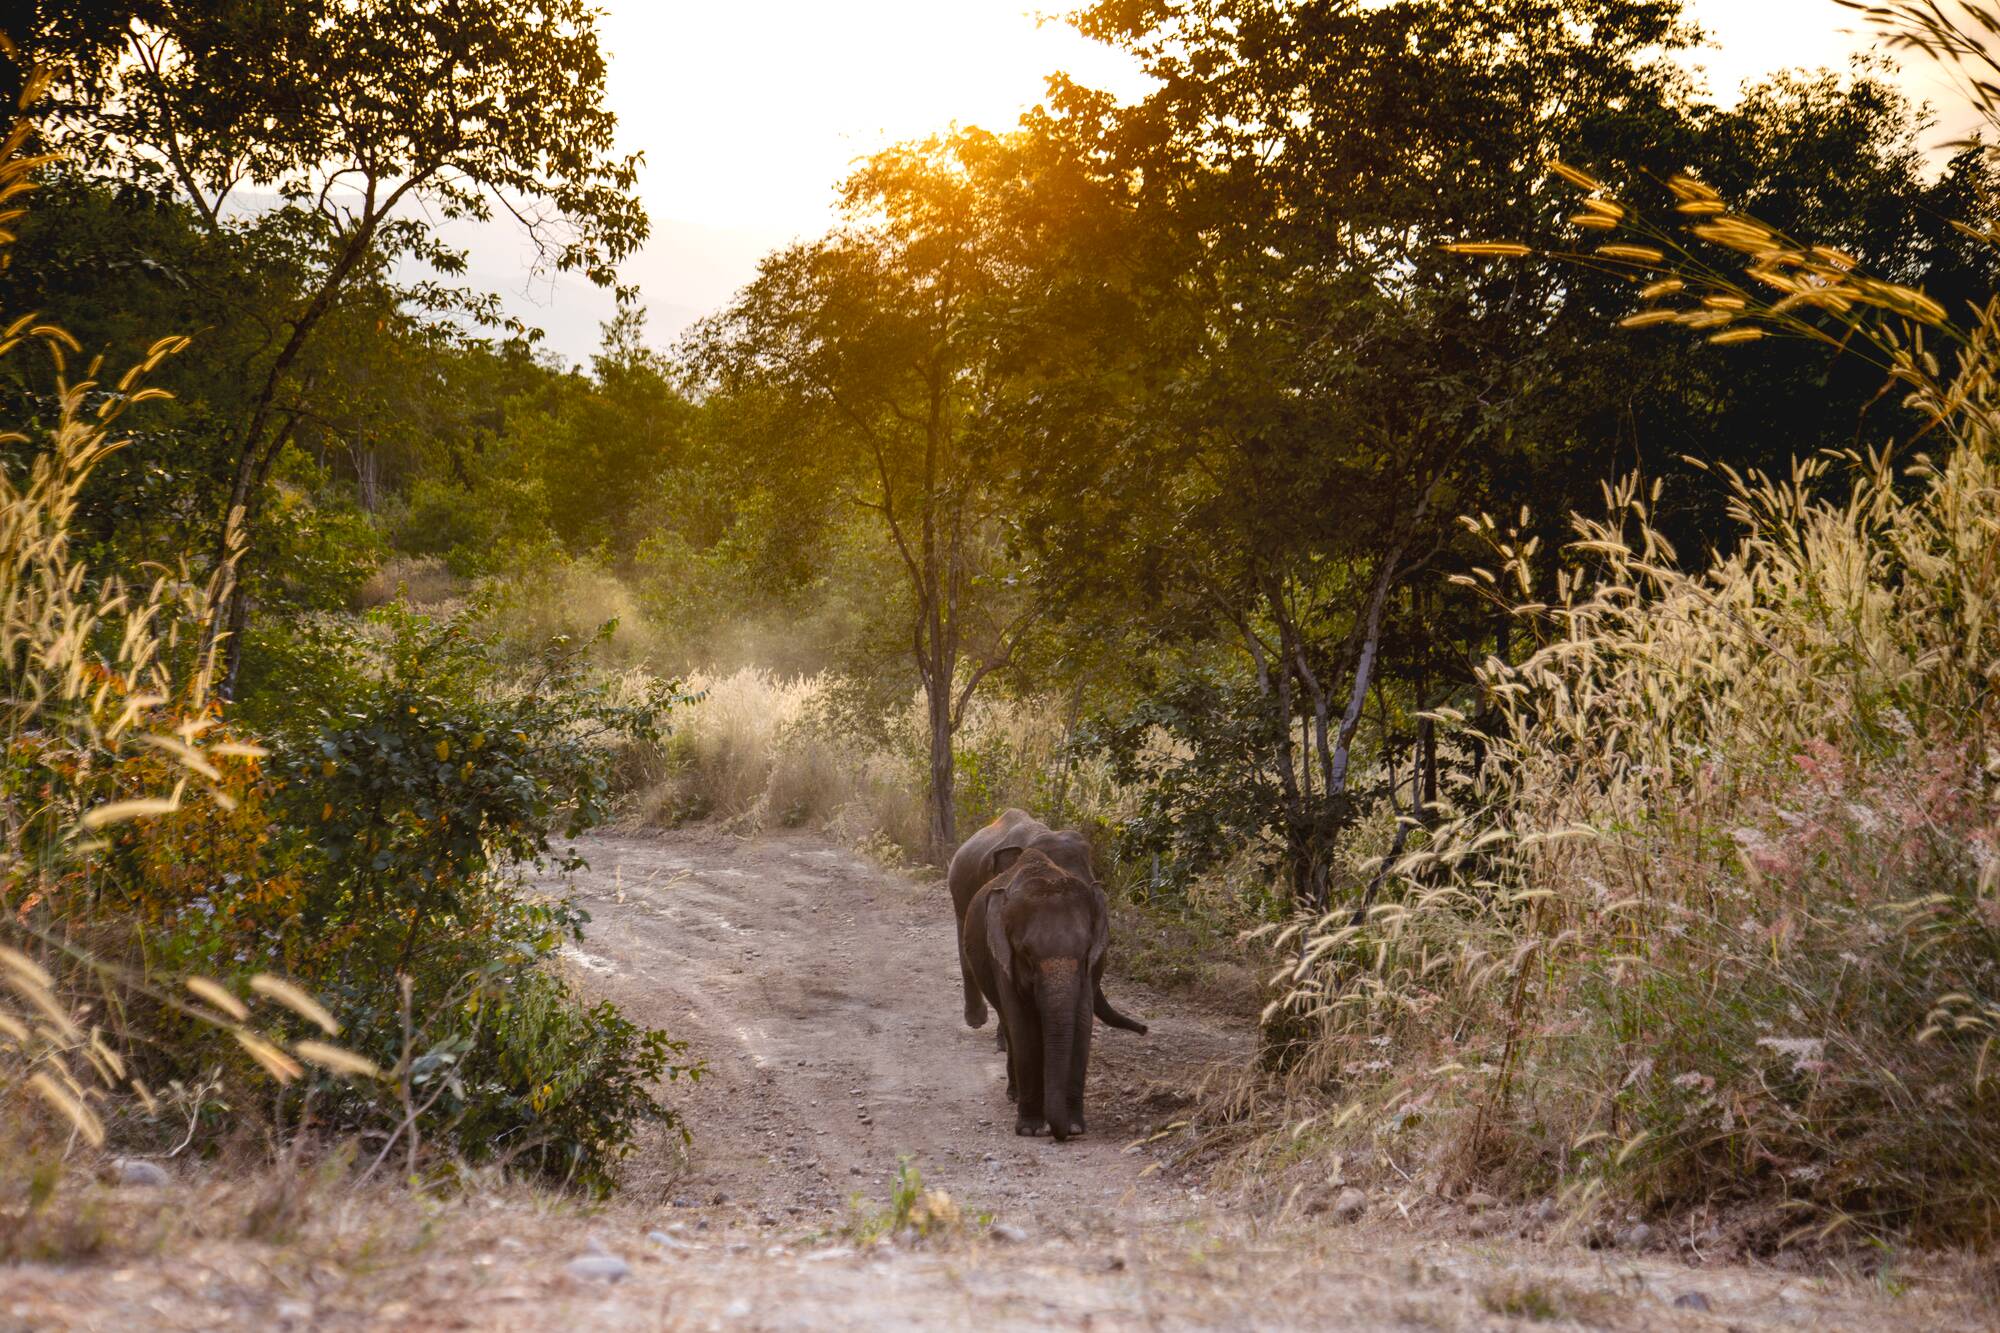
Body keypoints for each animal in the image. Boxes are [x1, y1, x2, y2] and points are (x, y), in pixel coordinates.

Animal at [962, 849, 1111, 1139]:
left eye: (1085, 951)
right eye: (1026, 953)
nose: (1059, 1133)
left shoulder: (1089, 971)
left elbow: (1082, 1025)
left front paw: (1075, 1127)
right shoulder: (1002, 961)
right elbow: (1023, 1027)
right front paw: (1030, 1129)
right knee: (1010, 1026)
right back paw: (1014, 1094)